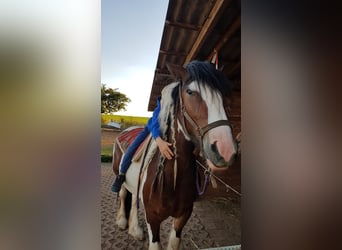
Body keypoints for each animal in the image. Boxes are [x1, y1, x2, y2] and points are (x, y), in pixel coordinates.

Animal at [111, 59, 236, 249]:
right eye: (190, 92)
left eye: (223, 95)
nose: (225, 150)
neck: (172, 177)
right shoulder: (152, 219)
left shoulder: (183, 216)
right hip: (120, 174)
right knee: (125, 192)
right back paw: (122, 222)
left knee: (133, 199)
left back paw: (136, 230)